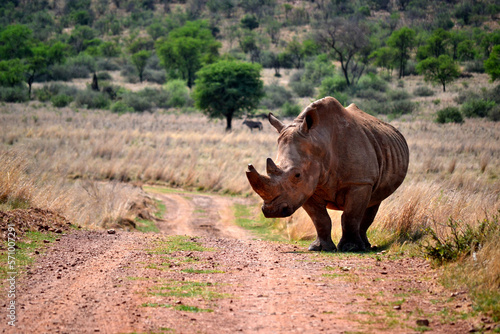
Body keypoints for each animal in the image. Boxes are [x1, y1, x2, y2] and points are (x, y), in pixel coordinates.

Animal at [244, 96, 408, 250]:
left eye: (297, 175)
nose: (272, 212)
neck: (320, 141)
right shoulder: (307, 186)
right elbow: (320, 219)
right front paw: (319, 248)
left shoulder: (360, 182)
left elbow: (350, 216)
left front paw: (351, 248)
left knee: (374, 202)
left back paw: (365, 246)